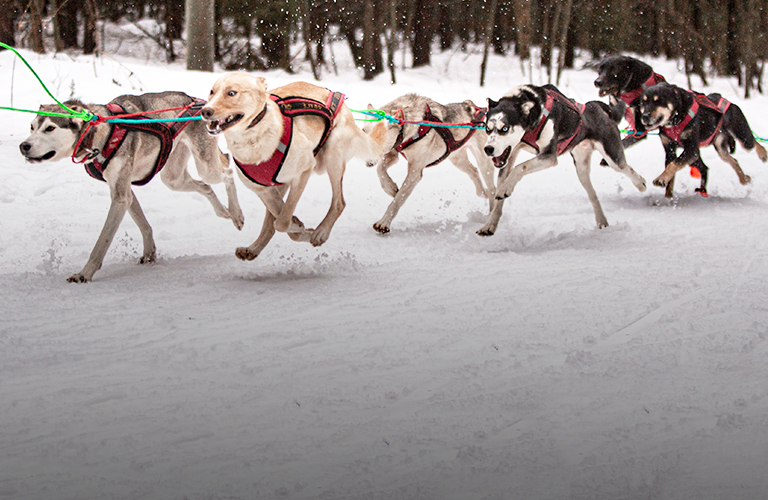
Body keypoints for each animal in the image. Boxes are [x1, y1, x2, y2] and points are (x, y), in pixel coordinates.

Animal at [18, 92, 243, 284]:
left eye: (50, 128)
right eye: (31, 127)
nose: (23, 146)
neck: (100, 134)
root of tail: (195, 100)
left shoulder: (120, 197)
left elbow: (102, 241)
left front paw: (84, 273)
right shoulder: (124, 191)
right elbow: (143, 224)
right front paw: (150, 252)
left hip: (206, 166)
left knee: (227, 170)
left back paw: (237, 214)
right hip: (173, 178)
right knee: (205, 186)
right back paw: (223, 211)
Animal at [201, 74, 388, 262]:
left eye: (231, 93)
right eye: (211, 91)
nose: (205, 111)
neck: (253, 140)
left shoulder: (303, 172)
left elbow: (282, 222)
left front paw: (301, 228)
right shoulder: (263, 190)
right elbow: (278, 219)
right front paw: (299, 227)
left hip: (333, 154)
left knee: (338, 203)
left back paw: (321, 232)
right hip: (281, 184)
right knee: (270, 223)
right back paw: (253, 248)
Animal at [364, 93, 496, 233]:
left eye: (380, 135)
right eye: (363, 131)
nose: (366, 158)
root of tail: (477, 109)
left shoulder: (415, 172)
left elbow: (398, 200)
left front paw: (384, 223)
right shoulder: (392, 154)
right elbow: (380, 170)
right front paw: (390, 187)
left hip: (484, 161)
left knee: (492, 189)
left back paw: (490, 215)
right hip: (457, 158)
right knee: (474, 172)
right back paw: (481, 192)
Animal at [484, 84, 644, 234]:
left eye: (505, 128)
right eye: (487, 129)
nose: (488, 149)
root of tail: (600, 109)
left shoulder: (549, 156)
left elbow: (520, 167)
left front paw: (506, 188)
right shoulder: (508, 157)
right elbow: (500, 193)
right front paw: (489, 224)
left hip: (612, 156)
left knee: (625, 167)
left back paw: (640, 183)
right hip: (581, 170)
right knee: (592, 194)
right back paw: (601, 220)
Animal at [636, 82, 768, 197]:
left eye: (658, 101)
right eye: (643, 102)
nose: (645, 116)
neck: (675, 120)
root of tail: (728, 102)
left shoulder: (692, 150)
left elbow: (673, 165)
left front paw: (661, 178)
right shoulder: (669, 150)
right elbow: (671, 174)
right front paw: (668, 196)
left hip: (743, 138)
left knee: (753, 141)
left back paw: (762, 153)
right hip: (721, 148)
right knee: (733, 160)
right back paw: (744, 178)